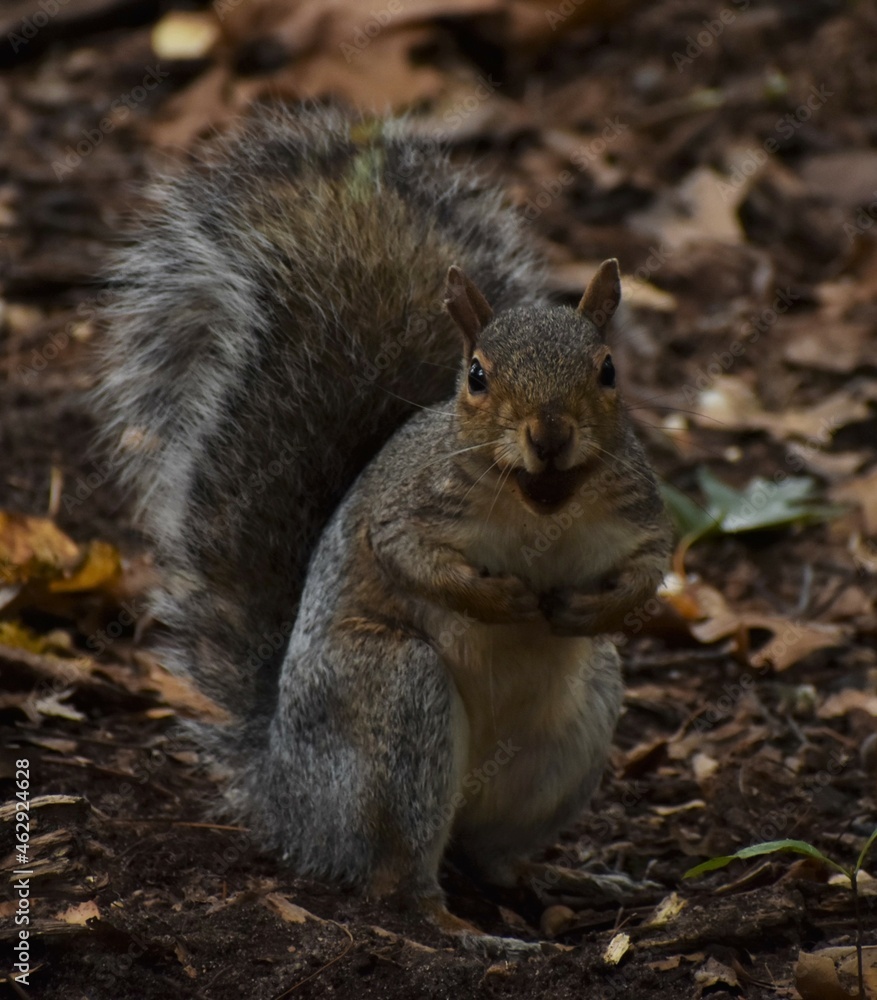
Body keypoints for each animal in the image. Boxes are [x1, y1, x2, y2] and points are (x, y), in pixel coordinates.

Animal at [96, 105, 672, 948]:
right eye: (476, 376)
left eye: (606, 370)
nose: (549, 434)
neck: (542, 504)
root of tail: (289, 801)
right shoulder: (405, 509)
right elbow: (408, 558)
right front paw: (501, 600)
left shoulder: (637, 513)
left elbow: (650, 571)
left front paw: (585, 608)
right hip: (398, 701)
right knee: (397, 879)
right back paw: (462, 930)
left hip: (575, 726)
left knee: (488, 855)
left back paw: (564, 879)